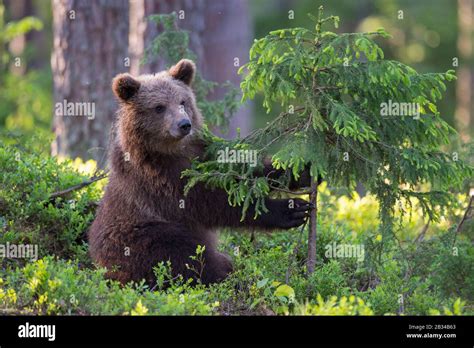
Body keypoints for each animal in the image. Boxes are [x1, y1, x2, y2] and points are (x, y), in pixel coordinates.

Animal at [88, 59, 312, 286]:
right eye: (159, 107)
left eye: (183, 101)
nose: (184, 124)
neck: (171, 151)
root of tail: (101, 267)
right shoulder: (157, 179)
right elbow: (208, 202)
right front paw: (291, 210)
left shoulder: (201, 153)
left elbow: (236, 170)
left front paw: (303, 171)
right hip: (141, 235)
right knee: (184, 254)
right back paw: (230, 275)